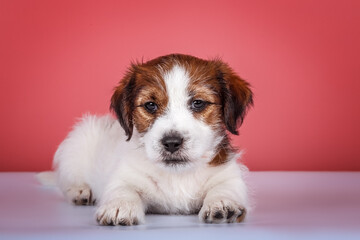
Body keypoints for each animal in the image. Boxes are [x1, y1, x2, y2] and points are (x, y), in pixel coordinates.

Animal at [53, 54, 253, 225]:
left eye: (198, 103)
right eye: (150, 105)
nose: (171, 142)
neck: (177, 176)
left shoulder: (227, 174)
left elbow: (224, 187)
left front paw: (222, 202)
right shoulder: (125, 175)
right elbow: (123, 189)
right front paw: (119, 206)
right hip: (77, 147)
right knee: (68, 181)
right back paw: (80, 191)